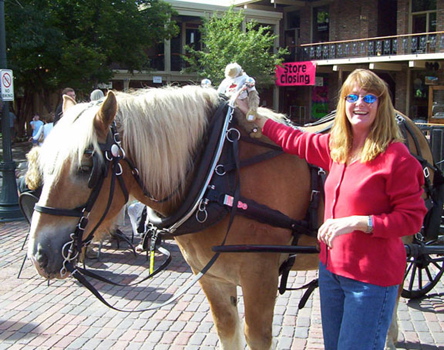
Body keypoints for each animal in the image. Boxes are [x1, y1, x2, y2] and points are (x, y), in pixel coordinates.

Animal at [26, 85, 434, 350]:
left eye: (86, 167)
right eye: (44, 163)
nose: (40, 255)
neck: (217, 174)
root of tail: (405, 121)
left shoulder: (259, 278)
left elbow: (257, 337)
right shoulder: (213, 278)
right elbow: (228, 333)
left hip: (406, 242)